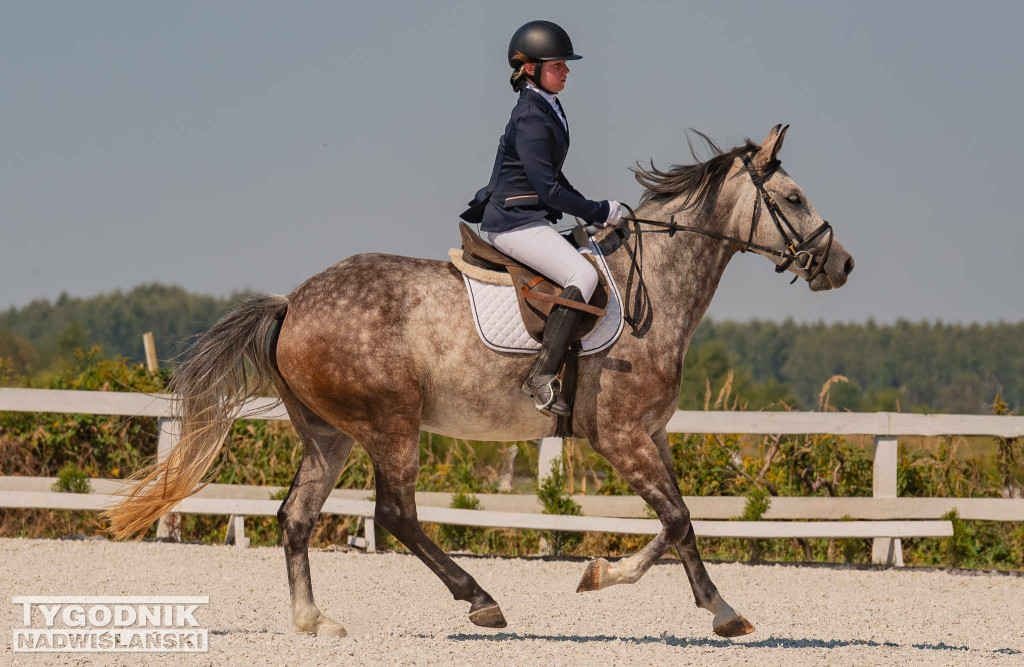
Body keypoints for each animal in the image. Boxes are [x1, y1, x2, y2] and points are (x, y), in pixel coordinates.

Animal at [103, 126, 856, 643]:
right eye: (793, 198)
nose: (843, 264)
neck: (657, 288)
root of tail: (292, 302)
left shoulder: (651, 435)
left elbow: (681, 522)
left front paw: (658, 590)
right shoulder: (620, 436)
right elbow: (675, 519)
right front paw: (683, 599)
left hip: (329, 434)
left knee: (296, 516)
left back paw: (315, 619)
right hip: (390, 424)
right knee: (396, 515)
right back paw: (480, 599)